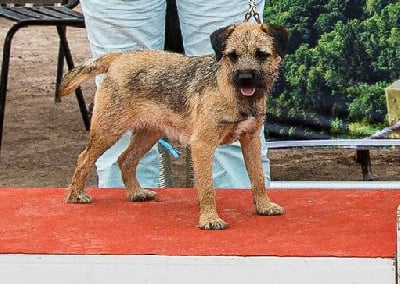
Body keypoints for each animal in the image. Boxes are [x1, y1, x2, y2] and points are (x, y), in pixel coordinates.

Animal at [59, 21, 290, 230]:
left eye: (261, 54)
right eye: (232, 55)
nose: (245, 77)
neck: (230, 91)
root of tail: (119, 57)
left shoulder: (251, 139)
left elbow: (258, 177)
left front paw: (264, 206)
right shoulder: (202, 144)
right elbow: (207, 187)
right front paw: (210, 219)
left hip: (149, 133)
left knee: (125, 159)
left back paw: (136, 193)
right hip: (108, 128)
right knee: (85, 158)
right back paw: (76, 194)